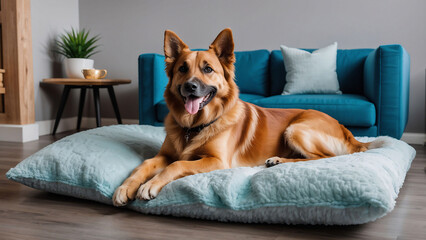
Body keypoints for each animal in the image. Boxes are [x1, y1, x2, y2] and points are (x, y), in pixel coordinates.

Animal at [113, 28, 370, 206]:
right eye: (182, 69)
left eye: (208, 69)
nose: (190, 87)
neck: (195, 126)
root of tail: (344, 129)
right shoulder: (164, 154)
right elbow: (145, 164)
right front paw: (126, 187)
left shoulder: (217, 161)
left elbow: (178, 164)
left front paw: (150, 185)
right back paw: (277, 160)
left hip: (296, 129)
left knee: (322, 158)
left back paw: (279, 161)